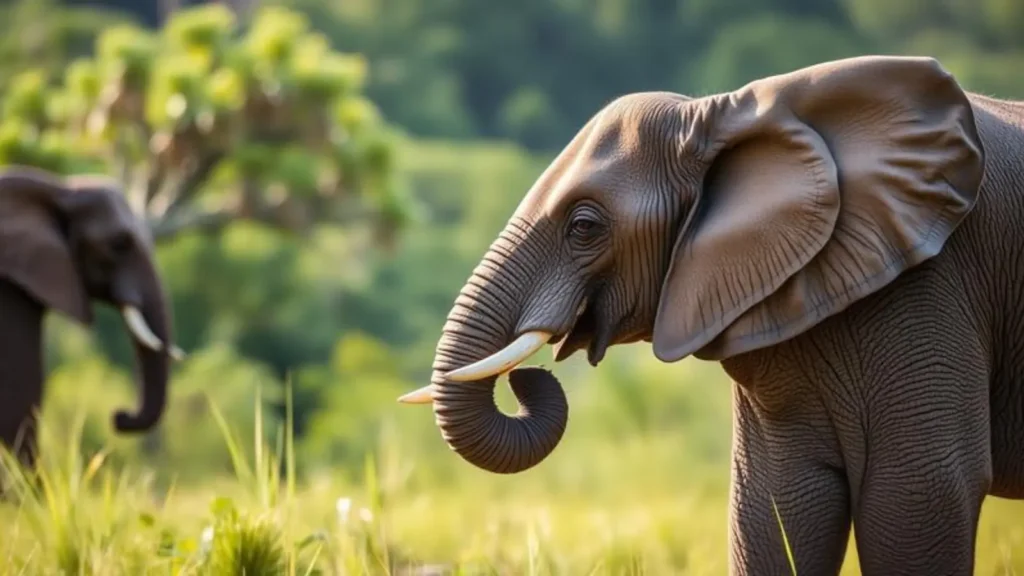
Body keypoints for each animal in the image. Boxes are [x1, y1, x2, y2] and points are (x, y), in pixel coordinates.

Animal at [397, 56, 1024, 575]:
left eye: (584, 226)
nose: (530, 377)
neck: (721, 117)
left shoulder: (931, 287)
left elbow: (920, 493)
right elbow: (775, 506)